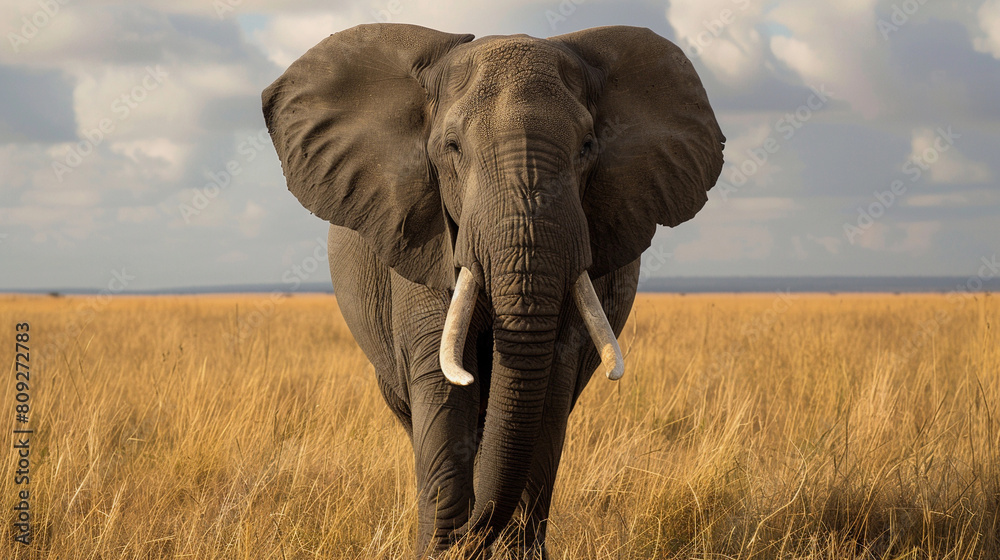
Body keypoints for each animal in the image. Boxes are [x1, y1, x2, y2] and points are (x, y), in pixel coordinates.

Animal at [262, 23, 724, 558]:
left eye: (588, 146)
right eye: (452, 147)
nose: (466, 538)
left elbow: (549, 384)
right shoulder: (422, 239)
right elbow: (442, 384)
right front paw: (443, 549)